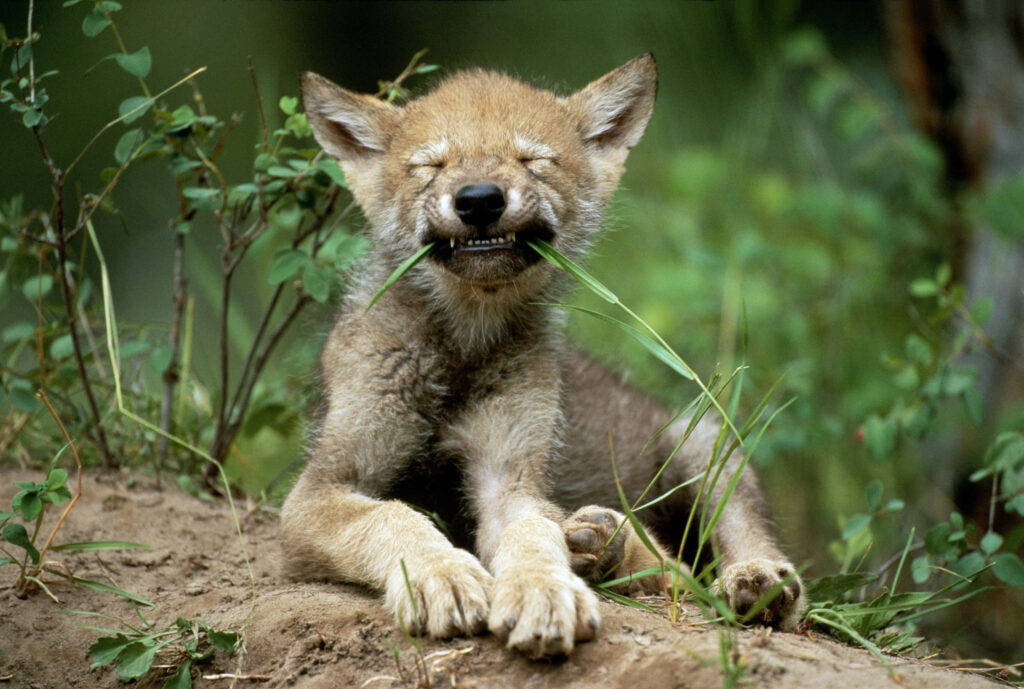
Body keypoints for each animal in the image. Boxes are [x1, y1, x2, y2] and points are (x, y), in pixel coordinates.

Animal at [280, 54, 803, 658]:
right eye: (431, 165)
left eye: (532, 161)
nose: (479, 198)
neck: (464, 346)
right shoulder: (319, 489)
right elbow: (395, 518)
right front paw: (443, 577)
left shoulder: (511, 480)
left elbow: (532, 534)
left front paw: (543, 592)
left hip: (704, 444)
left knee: (709, 558)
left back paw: (742, 578)